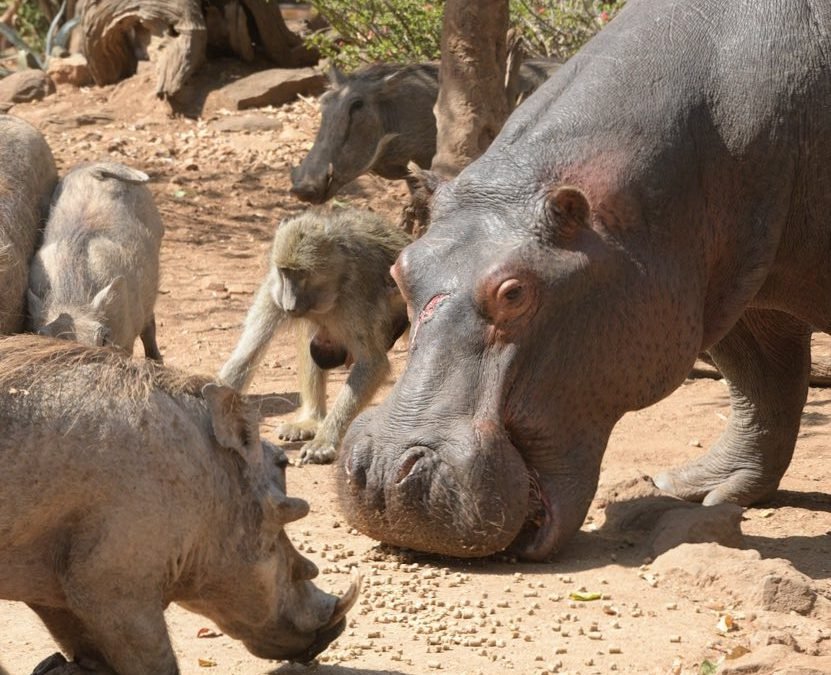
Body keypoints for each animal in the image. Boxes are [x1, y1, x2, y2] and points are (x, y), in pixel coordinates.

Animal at [337, 0, 831, 561]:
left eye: (515, 292)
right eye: (401, 270)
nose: (382, 473)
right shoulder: (725, 284)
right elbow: (763, 382)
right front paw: (699, 490)